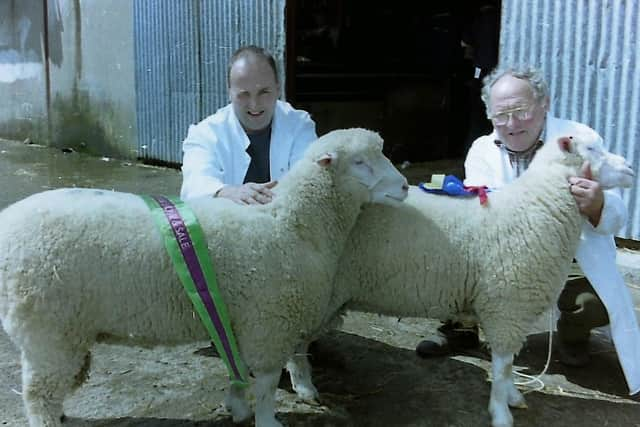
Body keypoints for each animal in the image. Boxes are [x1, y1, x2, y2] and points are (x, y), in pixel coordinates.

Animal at [0, 128, 410, 427]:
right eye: (360, 162)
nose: (406, 185)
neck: (291, 223)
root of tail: (7, 226)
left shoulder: (242, 319)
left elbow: (240, 368)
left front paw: (237, 405)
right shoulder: (269, 322)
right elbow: (265, 383)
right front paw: (266, 420)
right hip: (47, 329)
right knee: (39, 394)